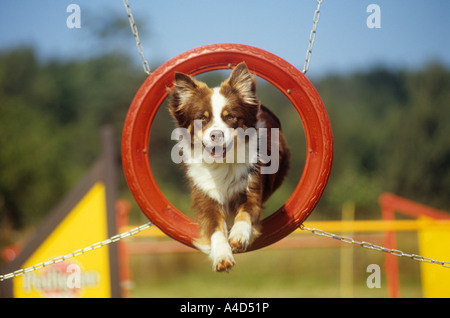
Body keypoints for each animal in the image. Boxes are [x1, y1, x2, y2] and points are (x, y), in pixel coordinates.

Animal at [167, 62, 290, 270]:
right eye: (203, 118)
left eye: (230, 117)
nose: (216, 134)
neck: (222, 164)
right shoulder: (205, 195)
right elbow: (215, 229)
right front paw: (222, 256)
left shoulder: (251, 186)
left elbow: (246, 213)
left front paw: (239, 236)